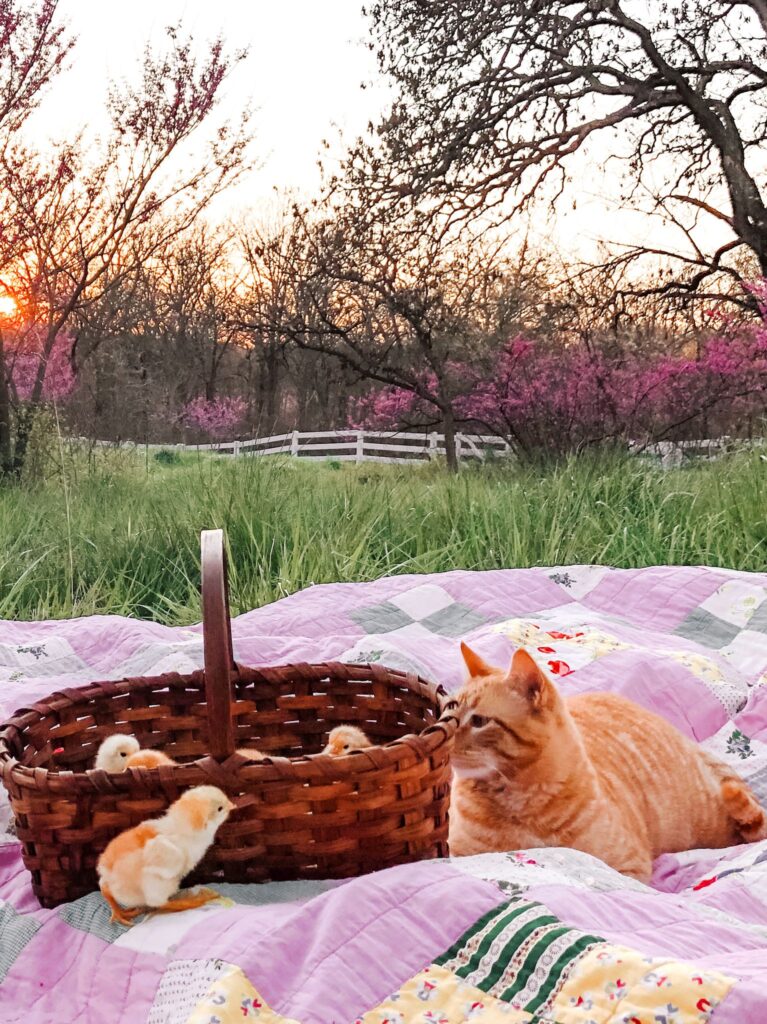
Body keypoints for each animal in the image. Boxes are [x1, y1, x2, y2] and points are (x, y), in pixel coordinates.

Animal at [448, 643, 765, 884]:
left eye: (479, 721)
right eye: (447, 714)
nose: (444, 739)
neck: (517, 801)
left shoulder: (626, 868)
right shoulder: (456, 855)